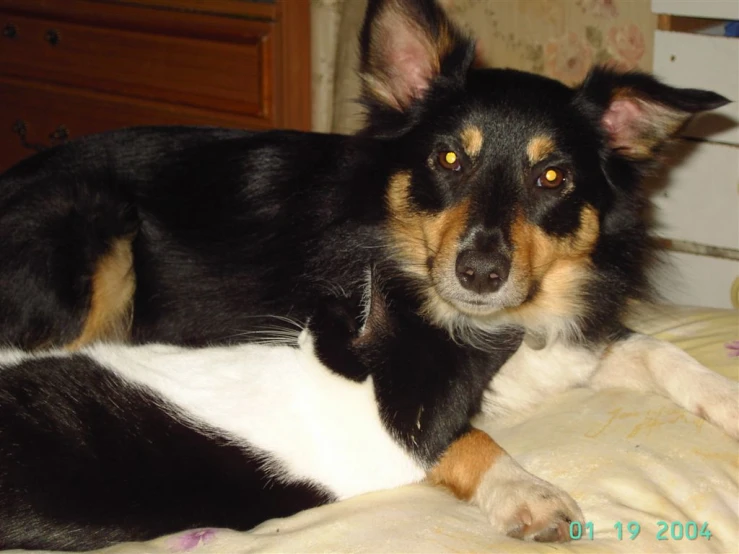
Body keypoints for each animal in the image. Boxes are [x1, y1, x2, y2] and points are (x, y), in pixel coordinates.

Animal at [0, 0, 736, 548]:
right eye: (447, 158)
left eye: (552, 177)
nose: (479, 273)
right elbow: (459, 433)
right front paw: (524, 490)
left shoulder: (572, 342)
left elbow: (656, 350)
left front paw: (725, 400)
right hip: (95, 230)